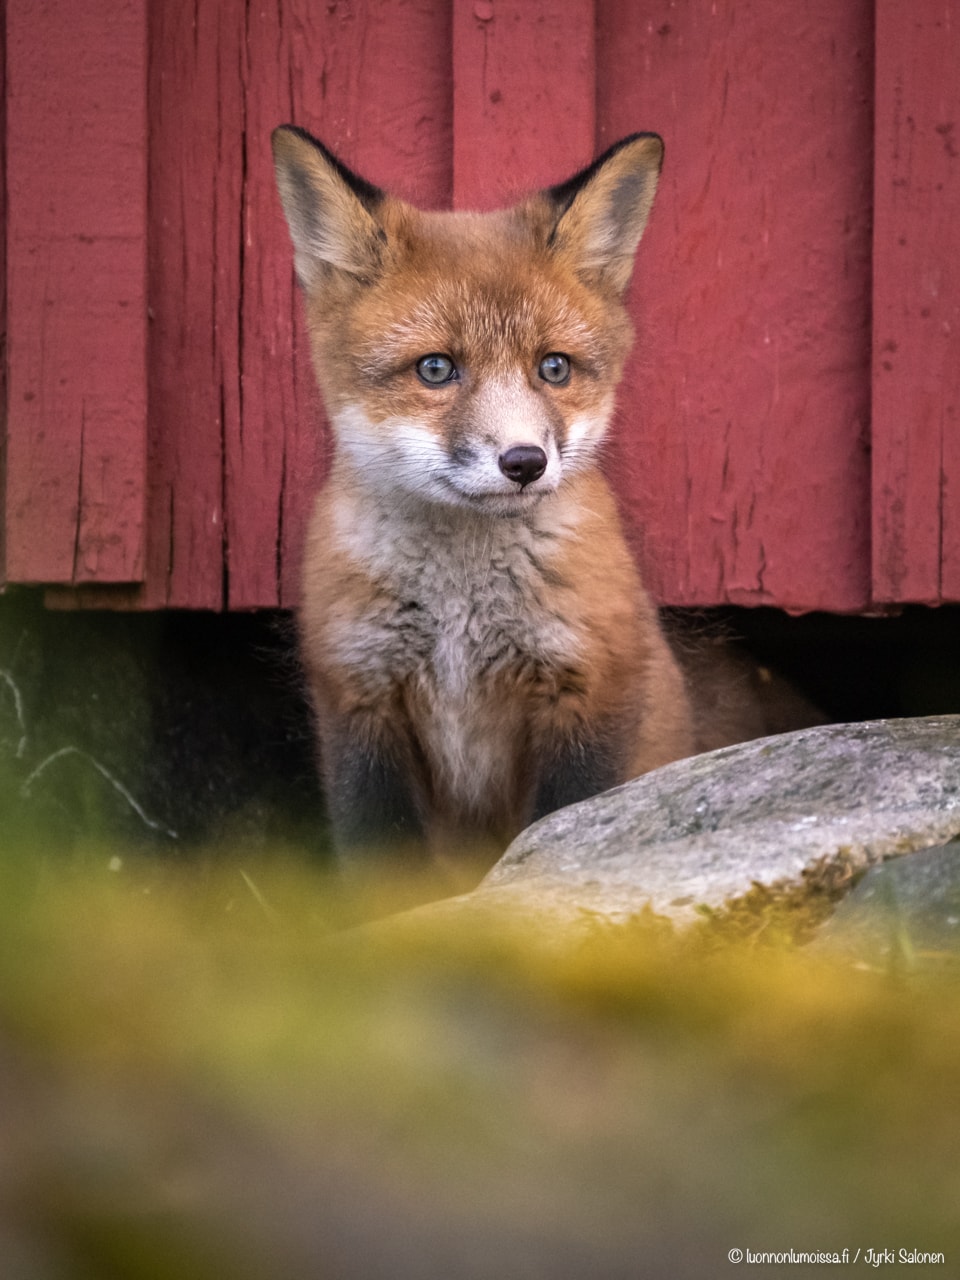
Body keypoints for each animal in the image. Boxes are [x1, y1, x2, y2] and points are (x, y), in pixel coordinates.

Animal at [272, 129, 819, 885]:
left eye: (553, 368)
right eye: (436, 369)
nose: (525, 462)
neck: (461, 615)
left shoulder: (589, 695)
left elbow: (561, 835)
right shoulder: (359, 703)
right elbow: (384, 873)